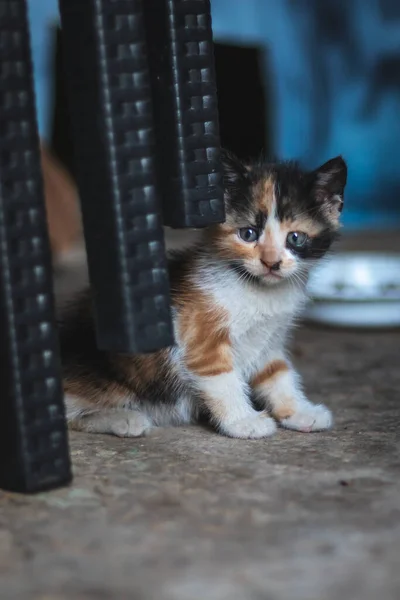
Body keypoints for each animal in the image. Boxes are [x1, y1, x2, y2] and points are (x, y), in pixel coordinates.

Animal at [59, 150, 346, 438]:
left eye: (295, 238)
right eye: (248, 234)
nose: (271, 263)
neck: (259, 290)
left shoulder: (269, 340)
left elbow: (278, 374)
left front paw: (299, 411)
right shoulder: (200, 336)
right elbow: (222, 379)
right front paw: (243, 421)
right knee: (70, 412)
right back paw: (125, 419)